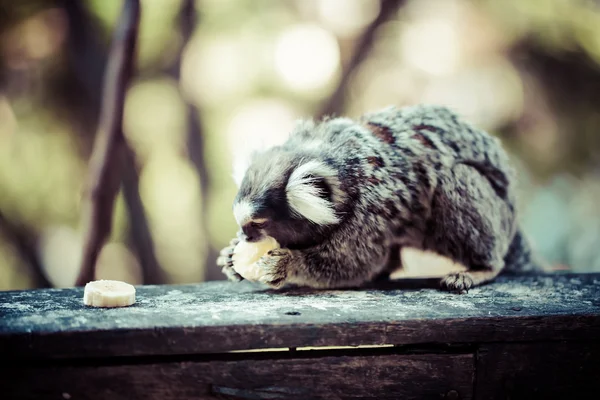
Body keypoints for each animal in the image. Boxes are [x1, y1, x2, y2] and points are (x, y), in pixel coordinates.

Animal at [216, 104, 540, 292]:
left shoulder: (370, 206)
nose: (246, 237)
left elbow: (357, 262)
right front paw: (231, 257)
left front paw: (286, 265)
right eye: (243, 224)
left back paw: (482, 268)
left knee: (455, 178)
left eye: (258, 223)